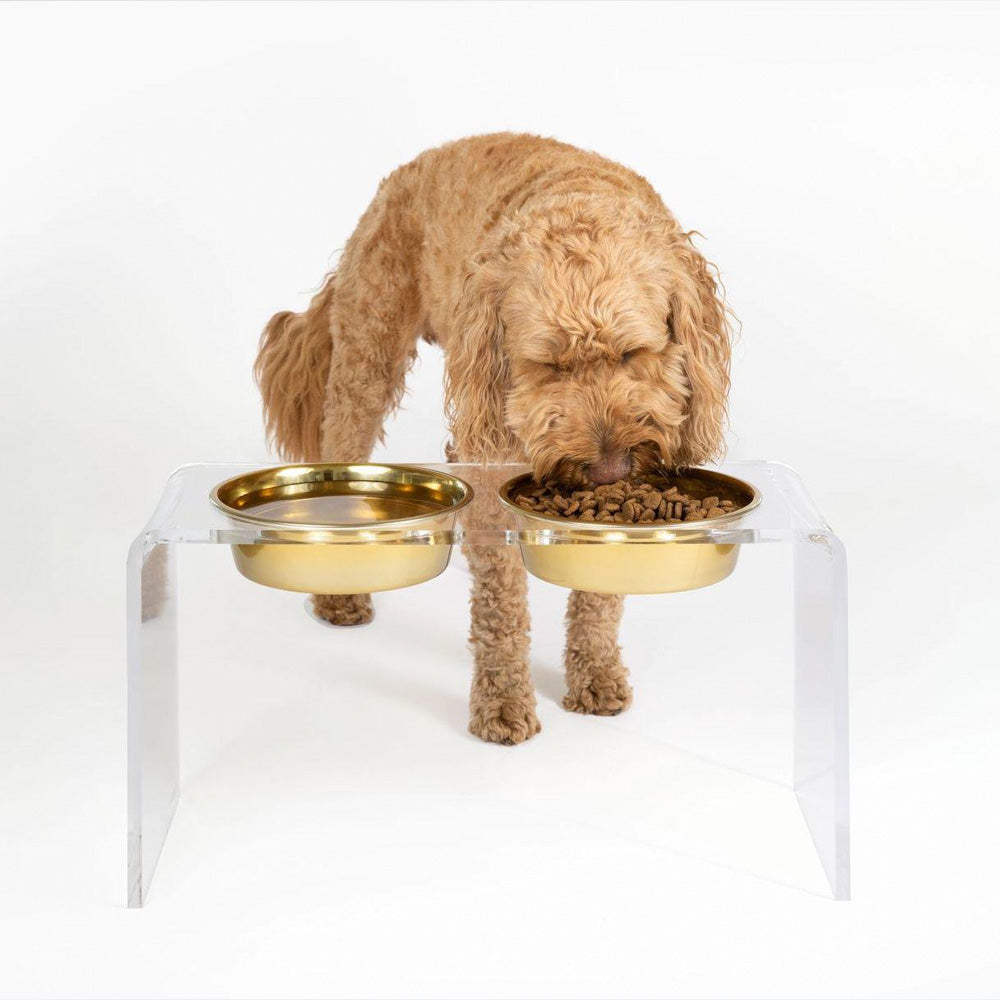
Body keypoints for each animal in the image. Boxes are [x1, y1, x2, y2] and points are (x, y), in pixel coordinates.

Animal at [254, 131, 732, 744]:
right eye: (547, 366)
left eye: (632, 354)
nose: (607, 469)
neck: (577, 198)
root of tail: (405, 172)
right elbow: (501, 606)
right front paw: (502, 702)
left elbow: (598, 589)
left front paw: (596, 673)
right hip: (370, 353)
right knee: (343, 442)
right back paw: (343, 593)